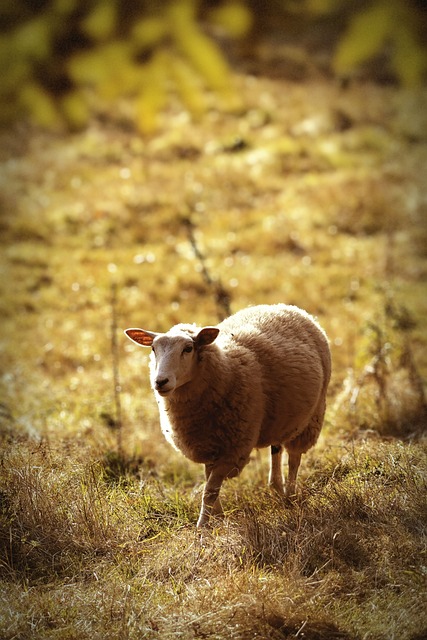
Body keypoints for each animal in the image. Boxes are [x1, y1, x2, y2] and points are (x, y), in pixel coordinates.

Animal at [125, 304, 331, 527]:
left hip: (311, 416)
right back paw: (277, 488)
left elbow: (210, 489)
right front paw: (218, 518)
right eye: (153, 349)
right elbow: (209, 483)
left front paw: (203, 527)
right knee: (276, 449)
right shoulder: (208, 445)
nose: (160, 381)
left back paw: (290, 496)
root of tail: (284, 307)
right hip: (280, 416)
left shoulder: (232, 450)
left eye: (188, 349)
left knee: (294, 458)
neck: (226, 370)